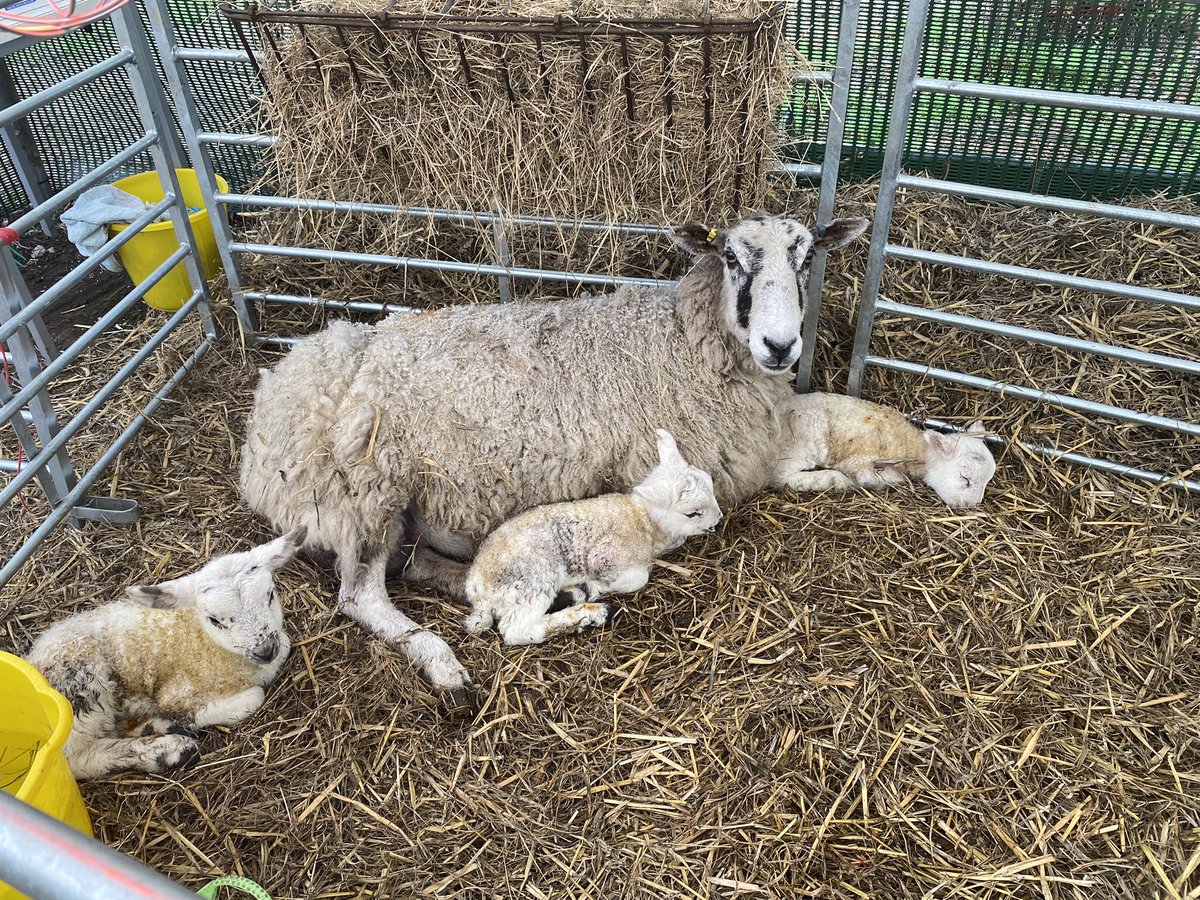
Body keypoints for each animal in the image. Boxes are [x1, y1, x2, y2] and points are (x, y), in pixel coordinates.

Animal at [25, 528, 304, 782]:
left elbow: (285, 644)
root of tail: (33, 658)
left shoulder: (280, 645)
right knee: (77, 758)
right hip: (80, 685)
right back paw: (167, 751)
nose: (264, 650)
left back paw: (158, 727)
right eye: (215, 620)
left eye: (270, 595)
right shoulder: (175, 693)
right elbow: (251, 698)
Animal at [463, 432, 715, 648]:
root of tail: (476, 584)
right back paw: (590, 615)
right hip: (531, 582)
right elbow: (638, 579)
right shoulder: (607, 556)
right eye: (693, 513)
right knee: (516, 630)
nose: (718, 522)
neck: (644, 520)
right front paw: (596, 587)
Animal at [772, 393, 998, 511]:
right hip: (805, 437)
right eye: (965, 478)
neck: (914, 449)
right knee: (781, 476)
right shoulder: (861, 463)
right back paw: (836, 480)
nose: (972, 505)